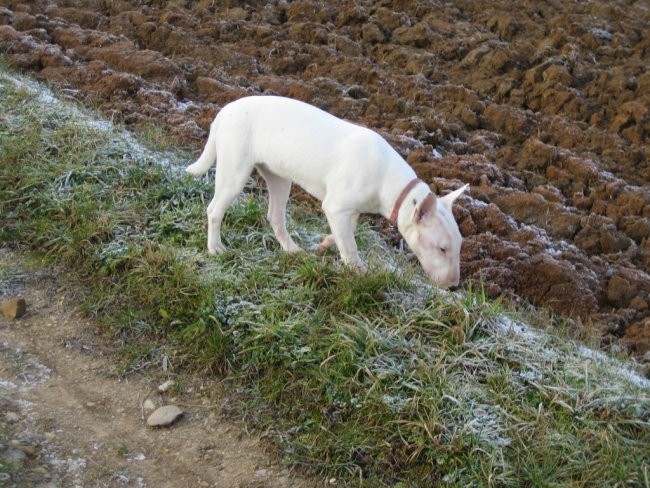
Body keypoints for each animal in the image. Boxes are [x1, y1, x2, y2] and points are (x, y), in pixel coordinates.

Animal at [186, 96, 466, 288]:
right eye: (442, 249)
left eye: (460, 245)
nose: (453, 286)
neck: (393, 184)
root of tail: (224, 111)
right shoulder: (336, 207)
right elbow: (350, 247)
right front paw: (359, 272)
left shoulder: (347, 211)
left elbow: (347, 233)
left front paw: (325, 244)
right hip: (234, 171)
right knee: (214, 210)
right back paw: (215, 248)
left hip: (279, 178)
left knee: (275, 216)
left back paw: (292, 250)